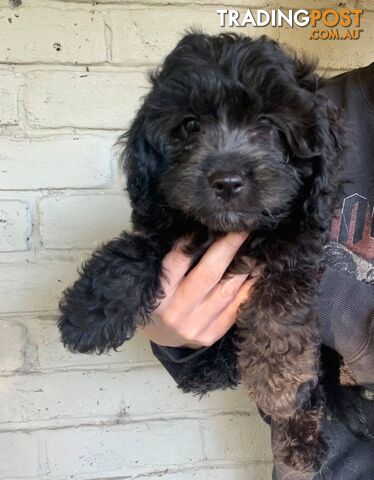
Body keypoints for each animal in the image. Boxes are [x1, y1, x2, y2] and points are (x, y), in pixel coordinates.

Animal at [57, 32, 356, 472]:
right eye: (190, 125)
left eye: (268, 124)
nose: (227, 180)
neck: (227, 231)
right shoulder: (165, 228)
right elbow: (129, 256)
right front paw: (88, 315)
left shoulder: (295, 253)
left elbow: (280, 317)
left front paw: (279, 385)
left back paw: (300, 440)